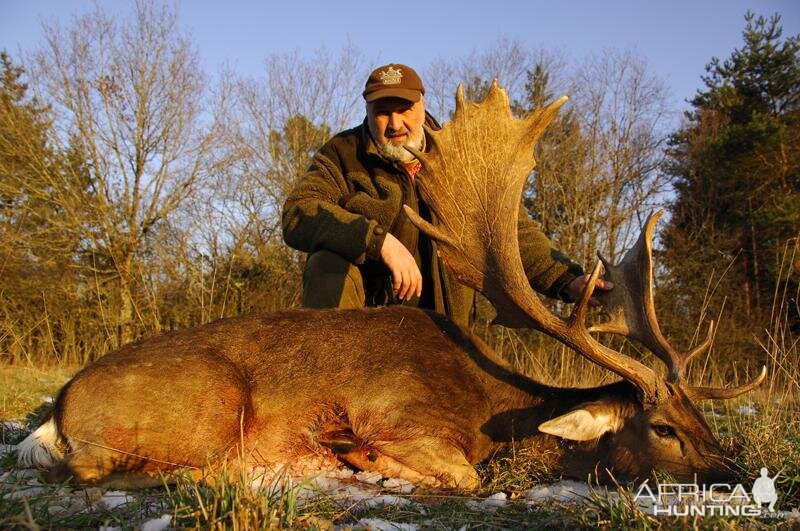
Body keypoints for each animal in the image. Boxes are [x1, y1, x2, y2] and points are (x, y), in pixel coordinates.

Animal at [17, 81, 764, 492]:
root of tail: (58, 403)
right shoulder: (398, 411)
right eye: (663, 428)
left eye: (706, 420)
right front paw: (357, 457)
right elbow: (462, 472)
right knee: (100, 468)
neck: (491, 407)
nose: (733, 473)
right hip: (211, 404)